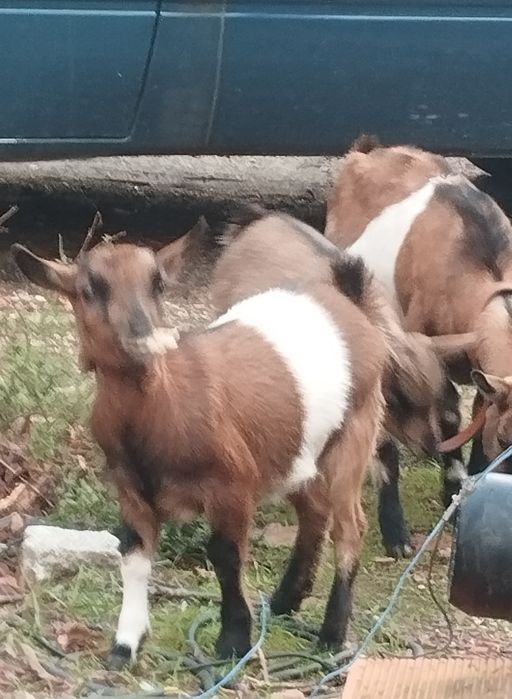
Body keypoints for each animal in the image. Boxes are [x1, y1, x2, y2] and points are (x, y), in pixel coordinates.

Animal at [12, 238, 386, 667]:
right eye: (90, 290)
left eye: (158, 283)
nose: (141, 336)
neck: (161, 404)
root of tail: (350, 301)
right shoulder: (131, 489)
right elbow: (133, 556)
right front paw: (125, 646)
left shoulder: (232, 485)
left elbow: (224, 555)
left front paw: (233, 642)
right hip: (296, 453)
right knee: (314, 510)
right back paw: (284, 602)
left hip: (355, 433)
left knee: (350, 527)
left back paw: (330, 635)